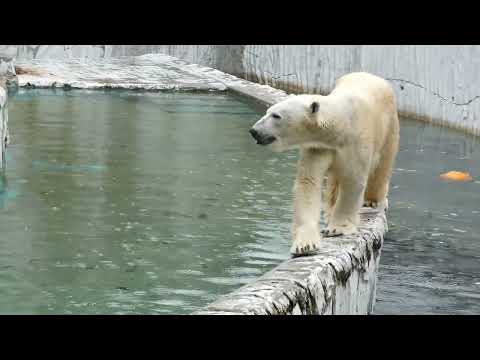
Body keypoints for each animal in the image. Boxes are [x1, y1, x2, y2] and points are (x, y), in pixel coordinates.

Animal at [249, 71, 400, 256]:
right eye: (267, 111)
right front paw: (305, 245)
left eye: (276, 115)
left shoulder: (356, 143)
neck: (340, 125)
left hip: (389, 128)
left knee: (382, 166)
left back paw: (372, 200)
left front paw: (337, 229)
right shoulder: (318, 147)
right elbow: (308, 183)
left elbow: (353, 181)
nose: (254, 131)